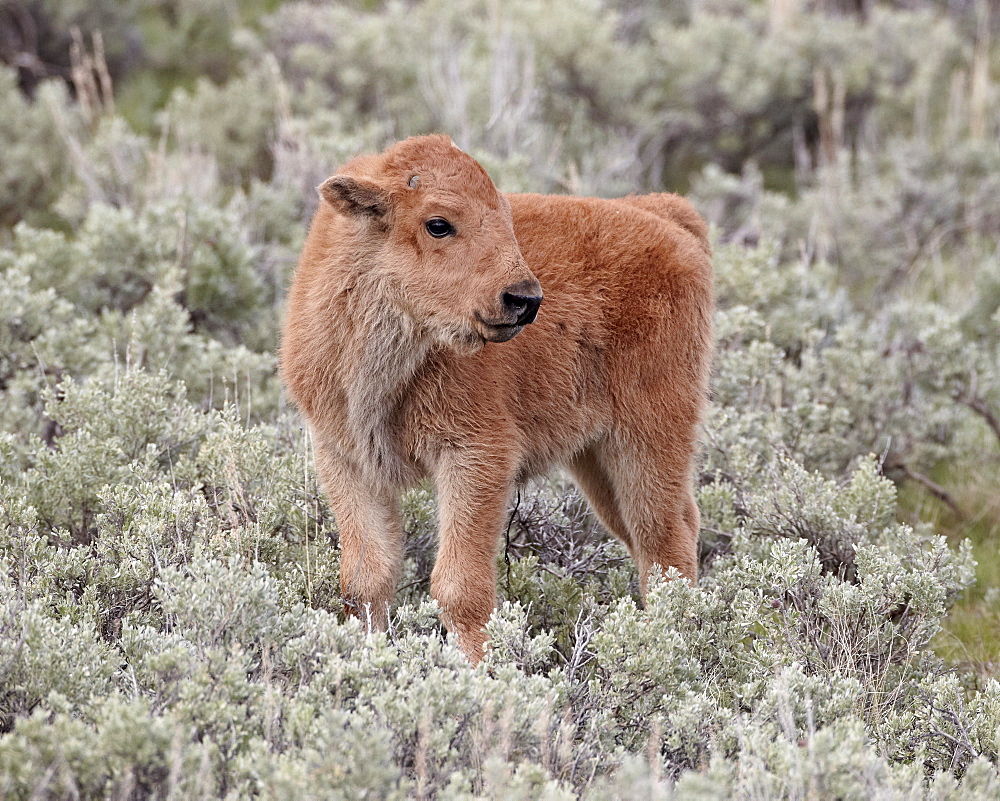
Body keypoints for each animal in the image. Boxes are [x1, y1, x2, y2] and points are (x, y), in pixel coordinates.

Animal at [280, 136, 712, 664]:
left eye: (504, 215)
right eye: (438, 223)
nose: (524, 299)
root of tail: (667, 216)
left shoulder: (475, 456)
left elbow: (459, 587)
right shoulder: (346, 459)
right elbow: (366, 578)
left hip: (649, 438)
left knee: (663, 539)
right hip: (596, 459)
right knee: (659, 529)